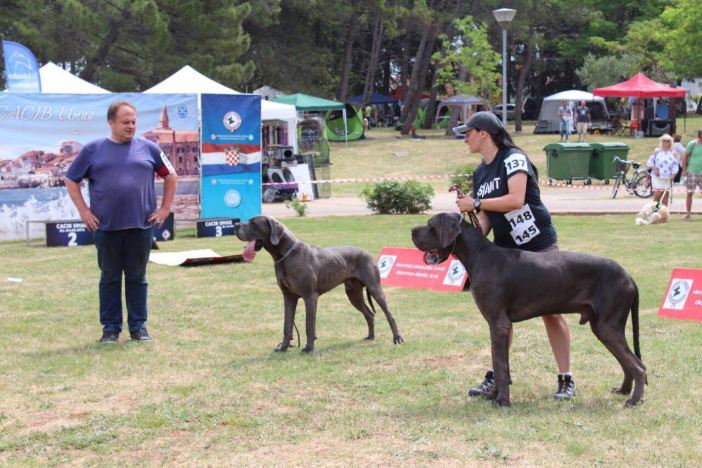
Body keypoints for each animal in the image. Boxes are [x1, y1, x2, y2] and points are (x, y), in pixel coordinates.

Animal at [235, 216, 404, 352]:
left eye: (253, 223)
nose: (236, 225)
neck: (286, 255)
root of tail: (368, 254)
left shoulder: (310, 296)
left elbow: (309, 325)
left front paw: (309, 348)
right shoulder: (288, 297)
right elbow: (287, 326)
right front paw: (283, 348)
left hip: (375, 288)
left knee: (389, 314)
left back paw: (397, 338)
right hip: (353, 293)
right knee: (369, 314)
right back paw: (370, 336)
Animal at [412, 212, 648, 406]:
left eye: (430, 225)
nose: (412, 230)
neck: (479, 255)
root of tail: (629, 276)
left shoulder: (499, 324)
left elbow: (501, 365)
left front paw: (502, 401)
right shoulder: (496, 326)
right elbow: (498, 363)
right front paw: (492, 395)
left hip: (608, 326)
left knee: (638, 366)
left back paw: (634, 400)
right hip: (603, 327)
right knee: (628, 362)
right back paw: (624, 391)